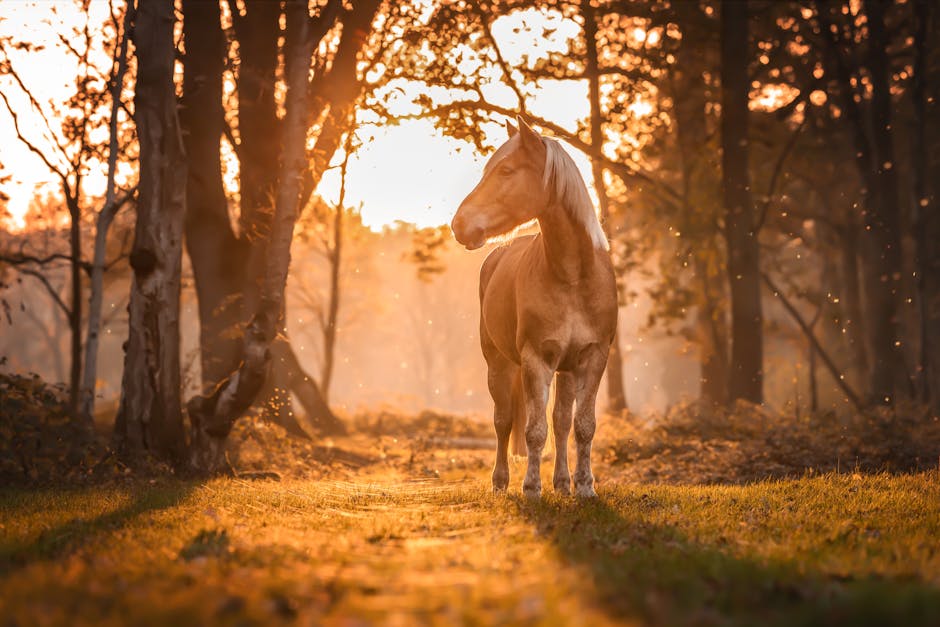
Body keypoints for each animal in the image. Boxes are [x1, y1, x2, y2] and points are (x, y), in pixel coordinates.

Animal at [454, 116, 620, 500]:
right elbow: (533, 430)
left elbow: (582, 426)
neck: (573, 277)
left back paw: (562, 483)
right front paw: (531, 488)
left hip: (566, 370)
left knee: (561, 423)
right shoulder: (536, 359)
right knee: (503, 421)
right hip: (498, 365)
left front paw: (585, 487)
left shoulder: (593, 357)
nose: (459, 225)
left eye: (506, 170)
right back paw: (501, 482)